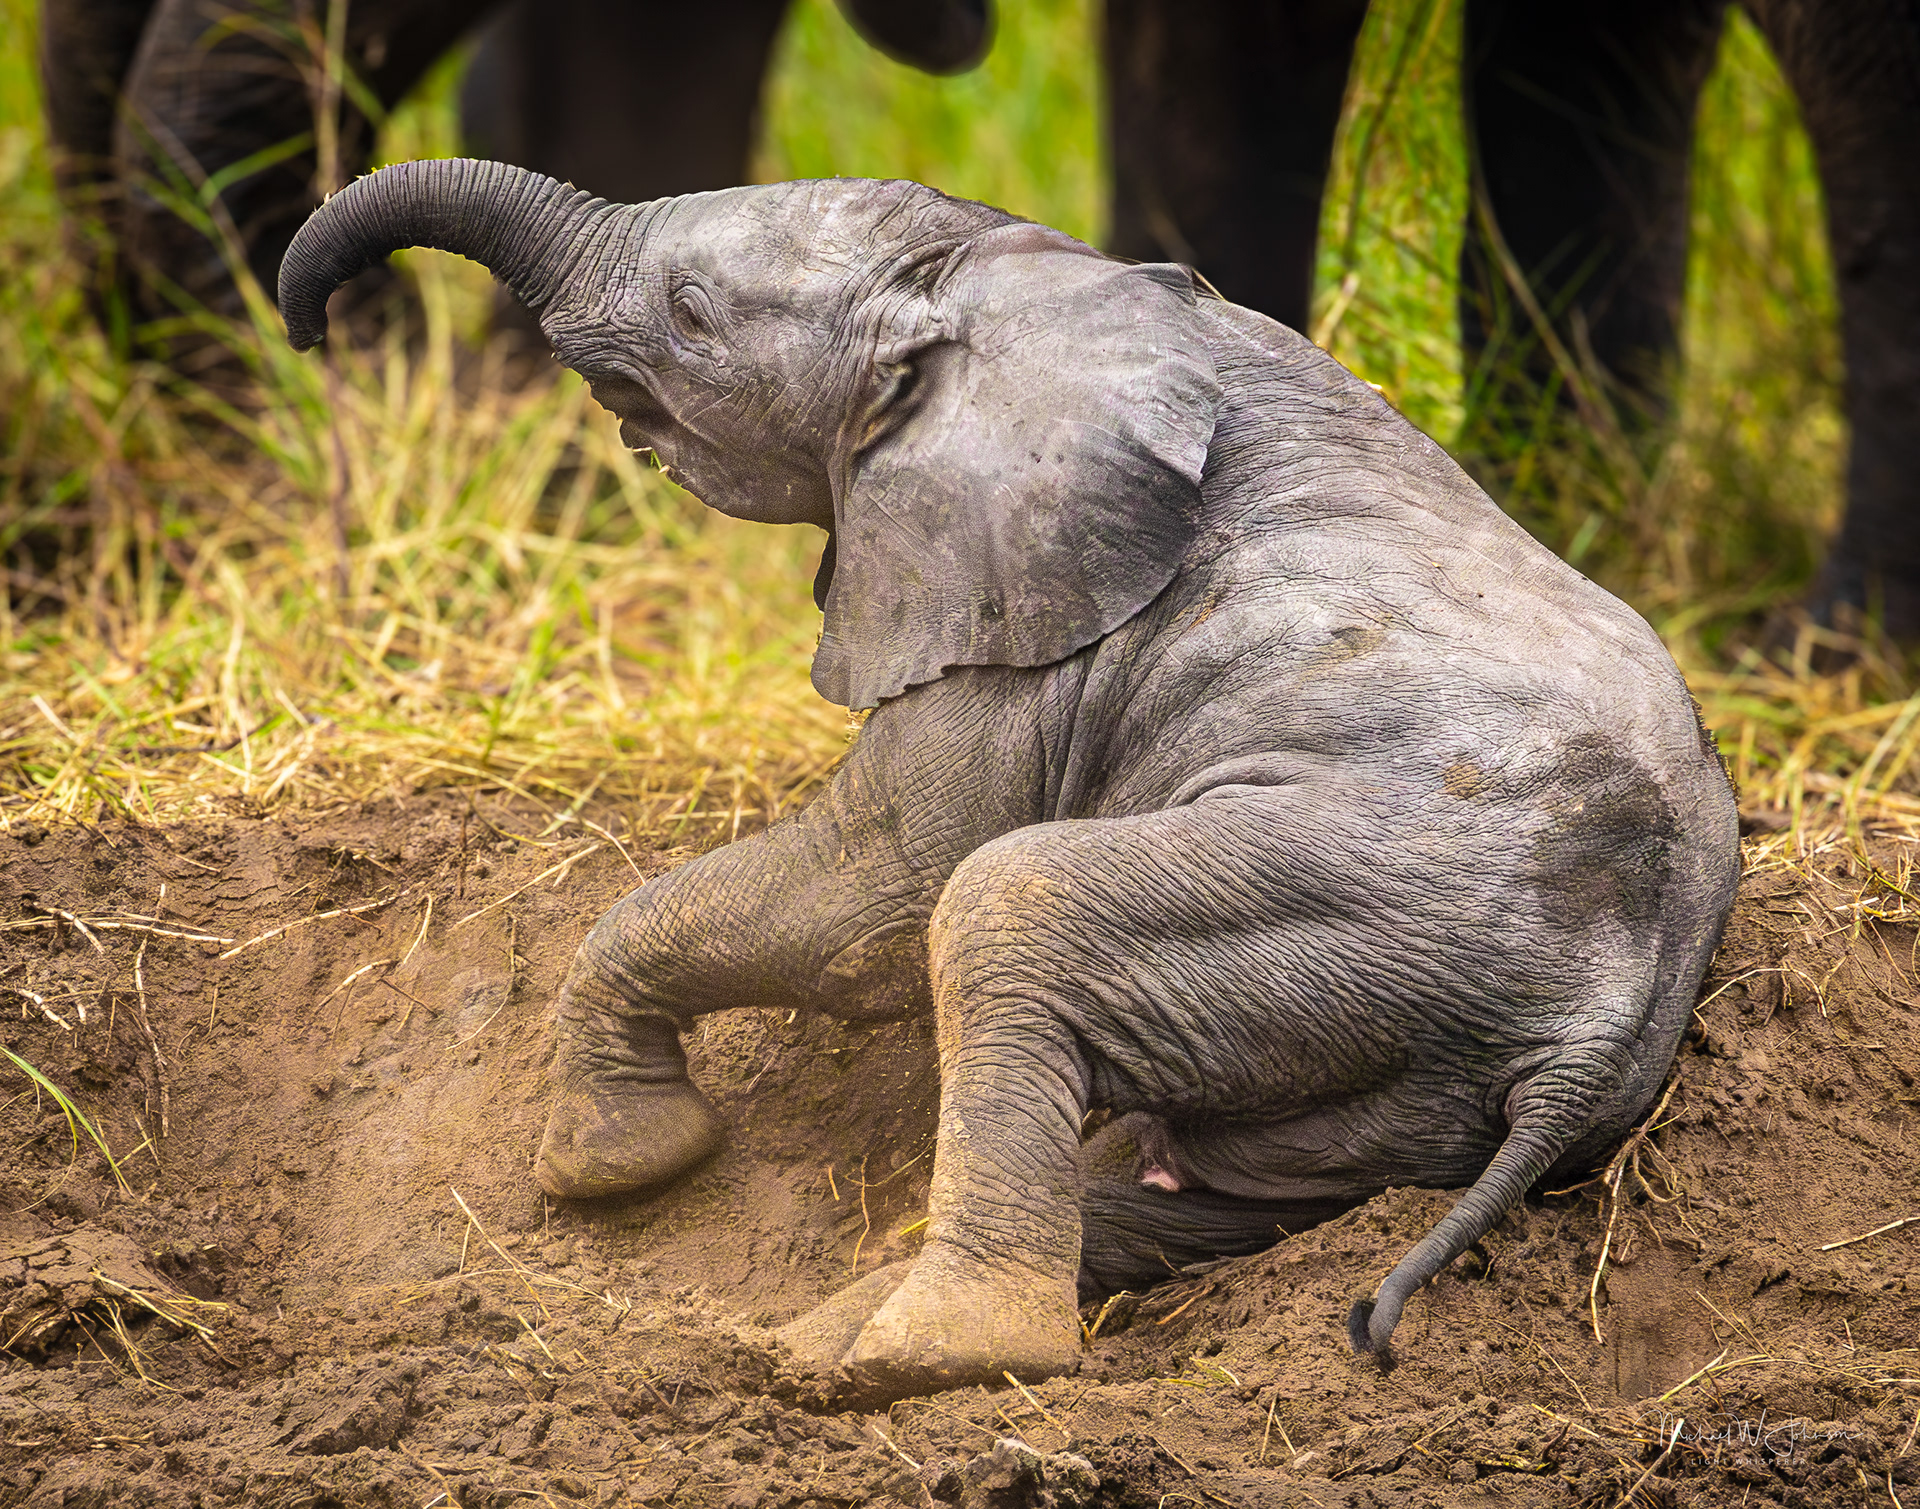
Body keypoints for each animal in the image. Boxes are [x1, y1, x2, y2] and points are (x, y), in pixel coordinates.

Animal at [277, 158, 1741, 1398]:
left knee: (1003, 907)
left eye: (690, 315)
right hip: (1403, 1072)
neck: (1009, 271)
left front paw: (611, 1174)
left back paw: (929, 1358)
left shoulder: (1028, 623)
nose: (308, 333)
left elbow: (870, 901)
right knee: (1205, 1180)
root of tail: (1597, 1037)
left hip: (1367, 915)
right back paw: (823, 1352)